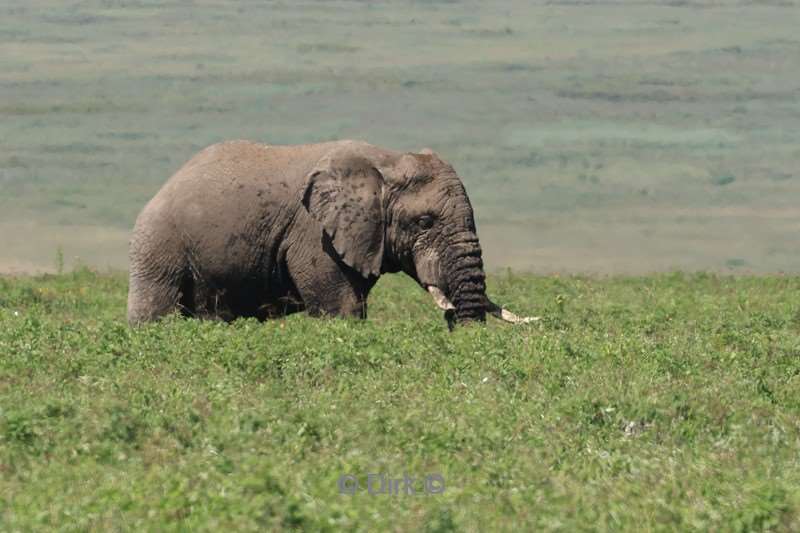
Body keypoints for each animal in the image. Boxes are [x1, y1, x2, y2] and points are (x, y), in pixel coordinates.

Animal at [126, 139, 536, 326]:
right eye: (424, 222)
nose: (454, 319)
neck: (386, 161)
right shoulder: (314, 234)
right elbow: (342, 309)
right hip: (158, 245)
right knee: (154, 311)